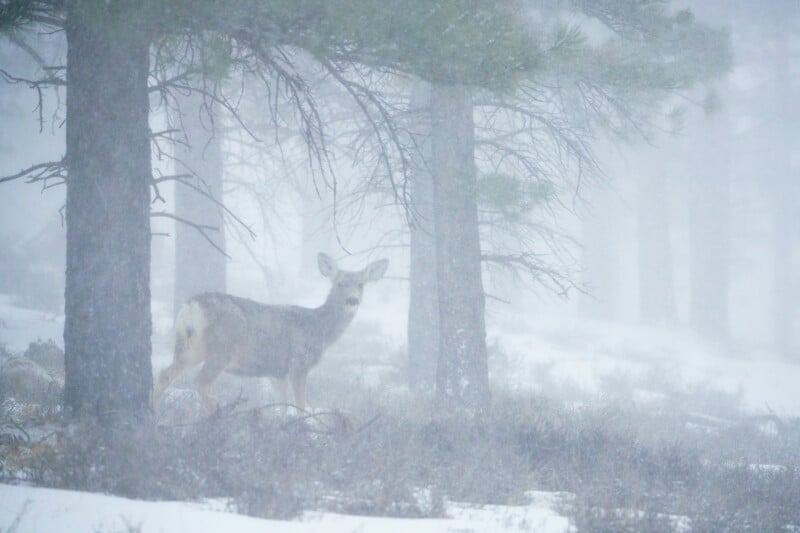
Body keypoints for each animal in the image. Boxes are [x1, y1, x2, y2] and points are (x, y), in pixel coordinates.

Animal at [152, 253, 389, 414]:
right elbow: (300, 404)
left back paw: (153, 412)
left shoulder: (276, 372)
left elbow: (282, 405)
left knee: (165, 373)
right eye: (339, 283)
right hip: (223, 347)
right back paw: (218, 417)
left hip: (189, 346)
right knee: (201, 382)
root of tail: (191, 305)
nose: (352, 300)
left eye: (361, 284)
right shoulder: (298, 363)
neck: (319, 329)